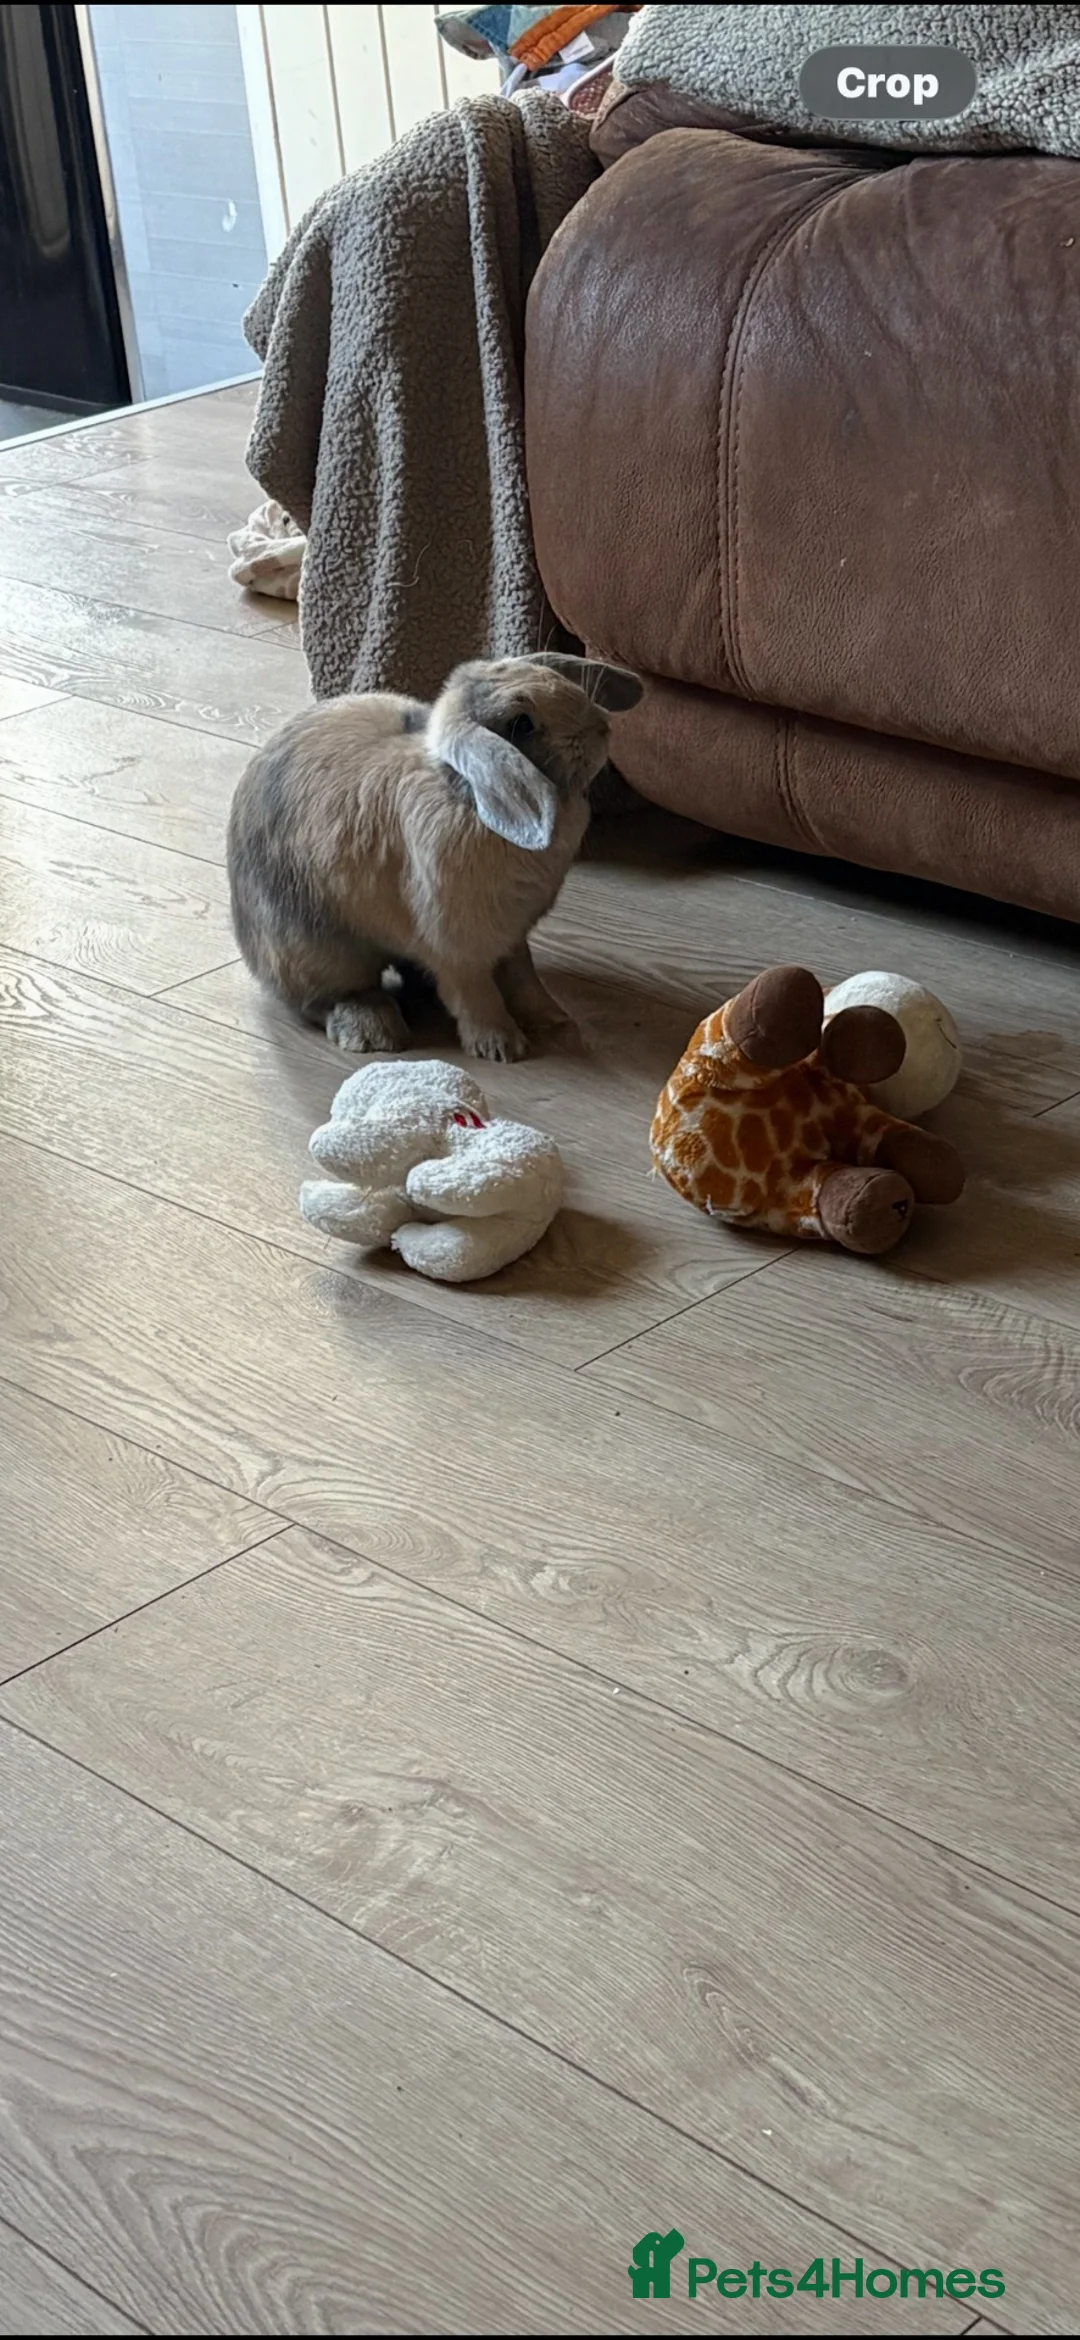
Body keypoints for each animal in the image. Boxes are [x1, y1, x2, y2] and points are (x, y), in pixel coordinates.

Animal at [226, 650, 643, 1061]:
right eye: (521, 724)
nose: (602, 726)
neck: (469, 795)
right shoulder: (458, 946)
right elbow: (475, 993)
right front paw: (501, 1046)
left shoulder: (513, 936)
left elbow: (524, 977)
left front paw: (553, 1019)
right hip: (319, 949)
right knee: (325, 999)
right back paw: (375, 1030)